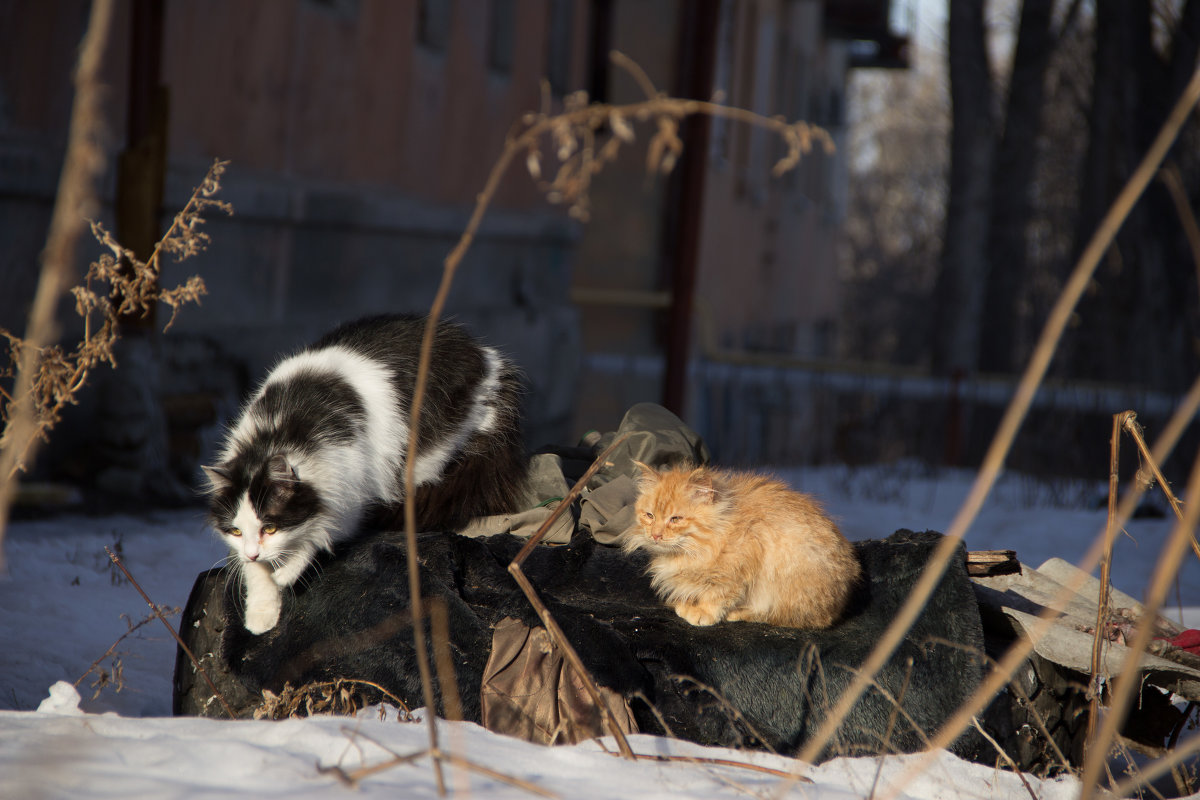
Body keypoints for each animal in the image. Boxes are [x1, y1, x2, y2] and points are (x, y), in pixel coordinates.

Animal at [204, 316, 528, 633]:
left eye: (270, 528)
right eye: (235, 531)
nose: (253, 552)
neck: (274, 435)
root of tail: (487, 356)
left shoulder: (350, 491)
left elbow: (319, 532)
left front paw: (286, 572)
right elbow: (254, 572)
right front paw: (261, 615)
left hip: (427, 452)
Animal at [624, 462, 859, 633]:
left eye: (675, 519)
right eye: (649, 516)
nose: (655, 534)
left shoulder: (739, 565)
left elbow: (718, 594)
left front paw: (702, 612)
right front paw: (688, 604)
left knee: (793, 617)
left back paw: (738, 612)